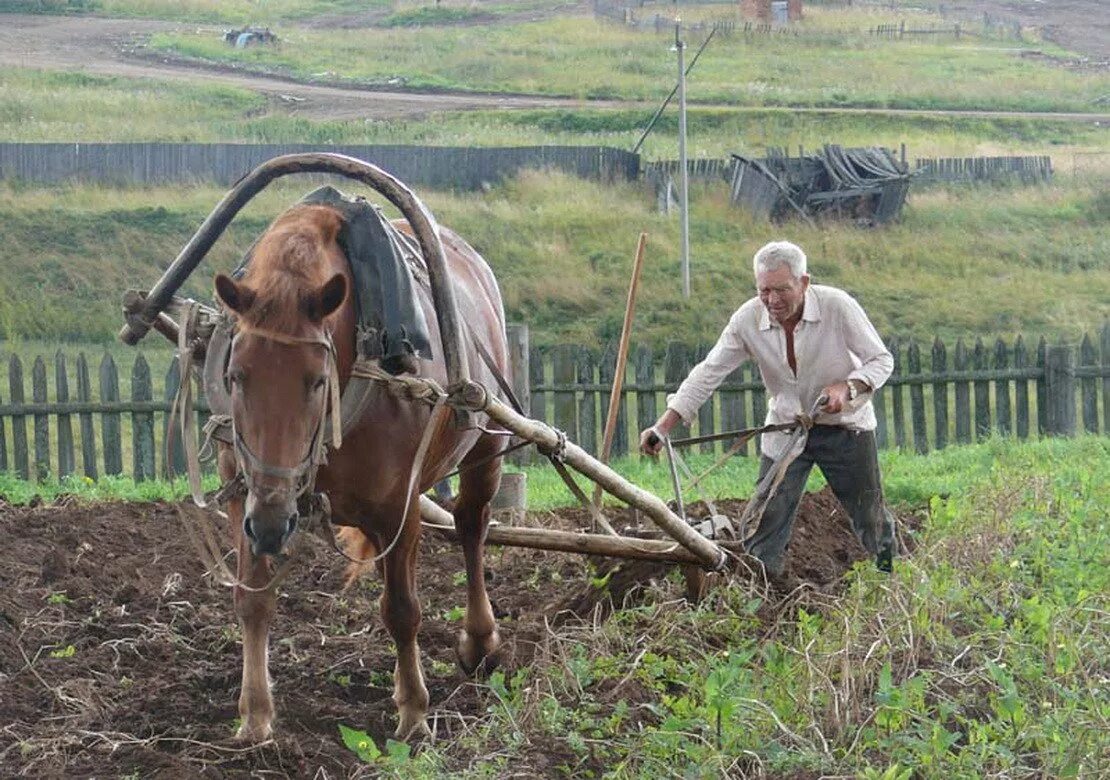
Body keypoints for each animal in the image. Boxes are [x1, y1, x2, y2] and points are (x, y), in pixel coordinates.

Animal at [210, 199, 508, 736]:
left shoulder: (399, 506)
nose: (272, 524)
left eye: (315, 379)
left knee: (472, 525)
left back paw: (480, 640)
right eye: (236, 374)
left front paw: (413, 712)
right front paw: (256, 715)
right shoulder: (247, 497)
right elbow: (252, 599)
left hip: (486, 447)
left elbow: (402, 610)